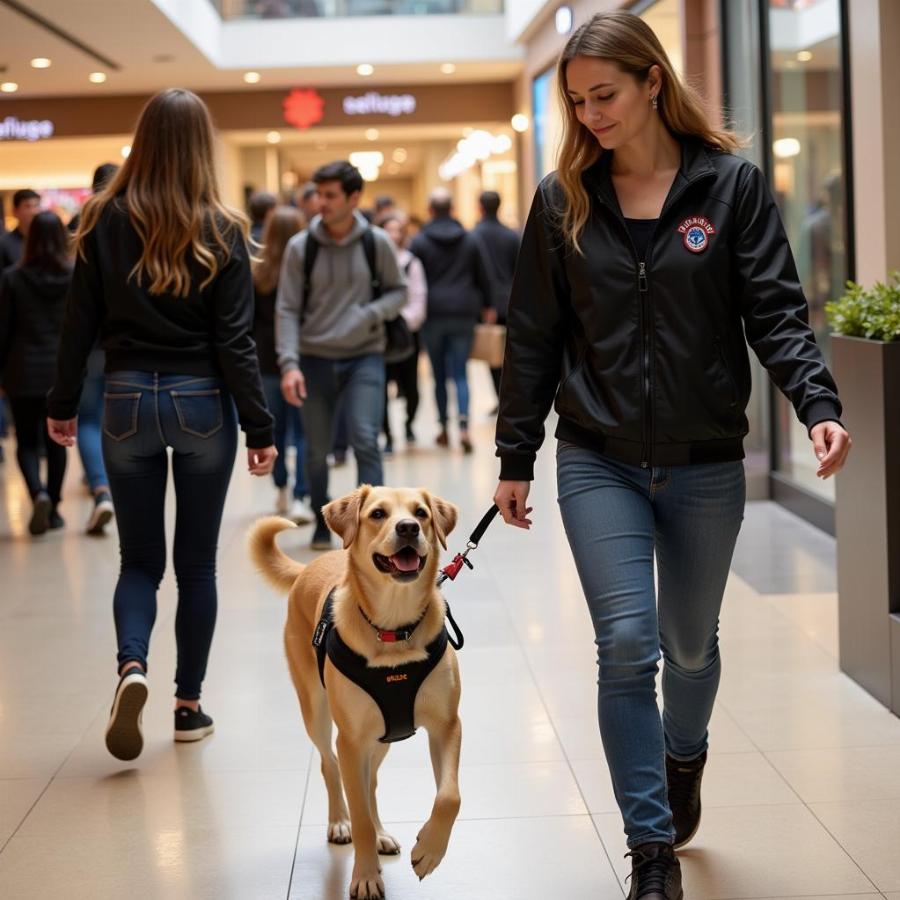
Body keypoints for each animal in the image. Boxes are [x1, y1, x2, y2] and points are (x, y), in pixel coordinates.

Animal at [250, 488, 464, 896]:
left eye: (422, 513)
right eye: (378, 514)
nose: (408, 527)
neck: (394, 629)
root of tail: (309, 568)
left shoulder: (447, 725)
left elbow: (449, 796)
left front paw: (429, 851)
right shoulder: (350, 739)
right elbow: (359, 811)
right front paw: (365, 876)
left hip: (383, 735)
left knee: (370, 783)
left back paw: (380, 833)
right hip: (318, 713)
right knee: (331, 767)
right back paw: (340, 822)